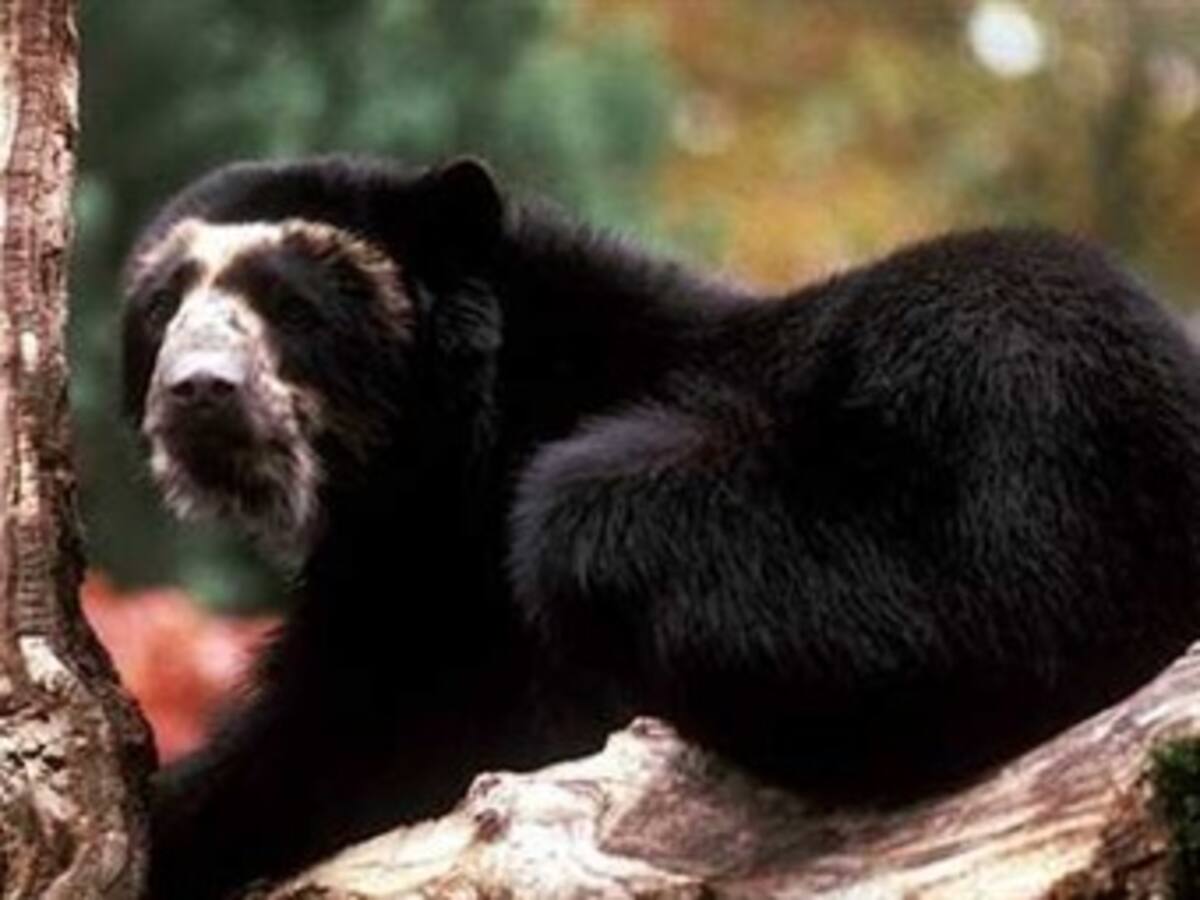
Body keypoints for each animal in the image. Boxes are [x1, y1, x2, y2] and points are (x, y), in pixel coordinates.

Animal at [120, 155, 1200, 899]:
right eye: (163, 306)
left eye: (291, 305)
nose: (200, 392)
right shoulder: (397, 589)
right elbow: (324, 737)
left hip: (1009, 387)